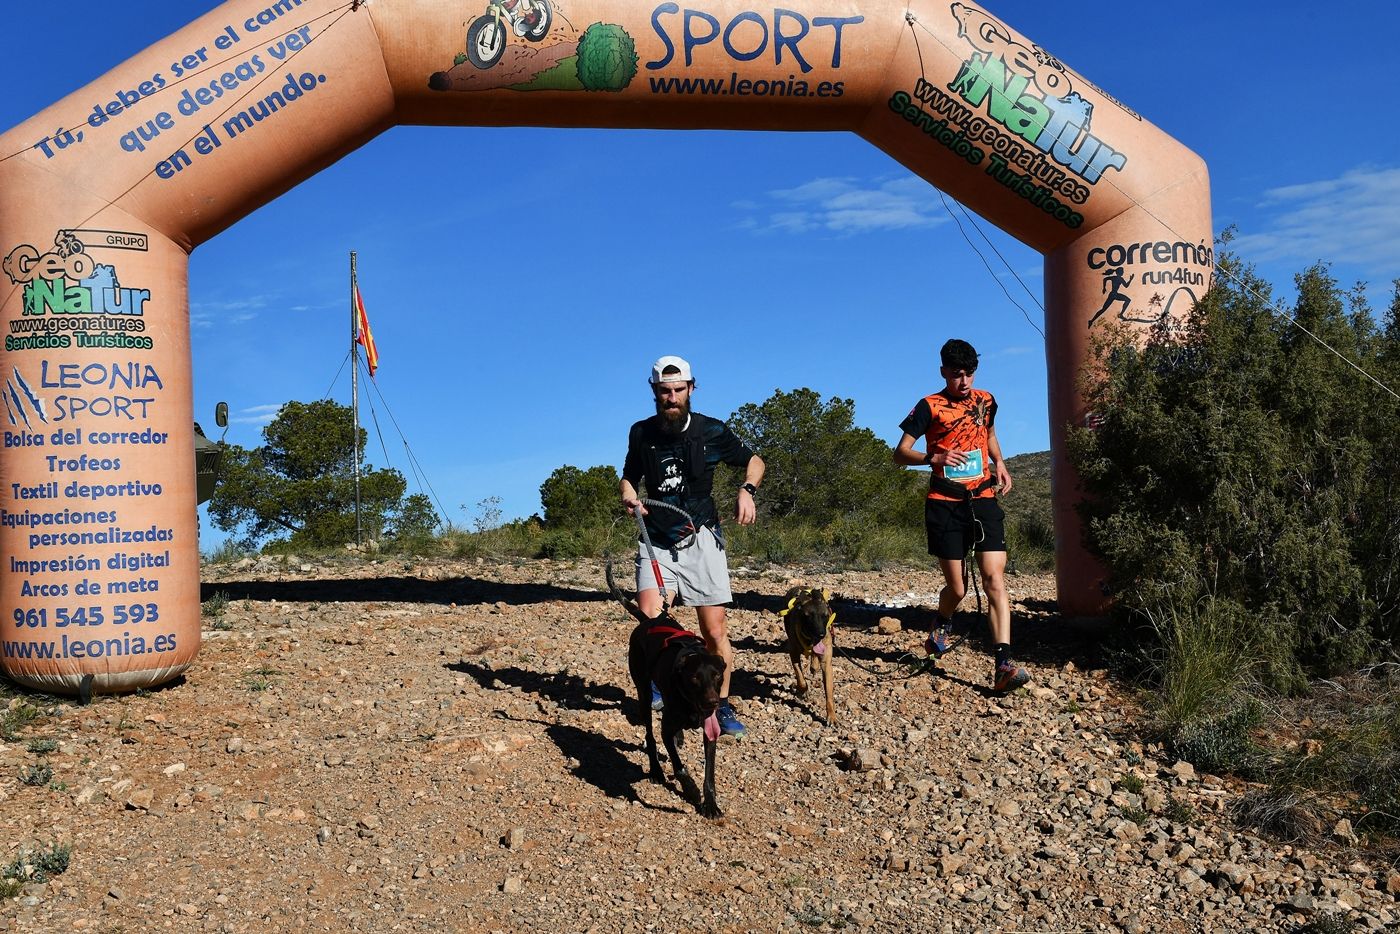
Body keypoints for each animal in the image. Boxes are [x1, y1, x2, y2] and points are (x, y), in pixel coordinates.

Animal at [784, 588, 834, 728]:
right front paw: (803, 691)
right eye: (809, 616)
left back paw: (814, 666)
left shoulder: (827, 664)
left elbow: (829, 693)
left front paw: (831, 716)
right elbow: (800, 677)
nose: (821, 634)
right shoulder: (793, 653)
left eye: (825, 616)